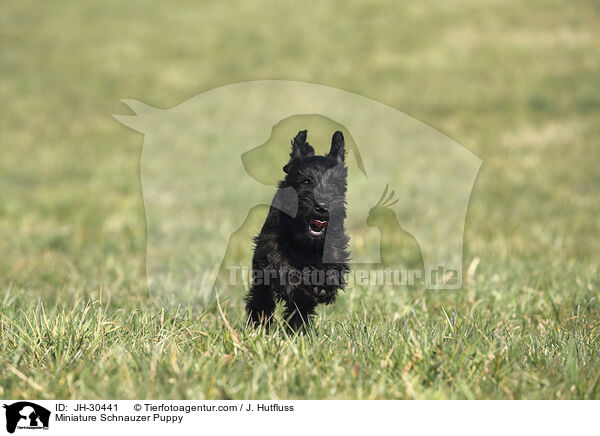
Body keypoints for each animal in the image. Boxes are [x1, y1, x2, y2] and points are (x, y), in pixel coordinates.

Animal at [245, 131, 350, 328]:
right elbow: (280, 263)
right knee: (261, 296)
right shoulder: (270, 242)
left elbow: (333, 264)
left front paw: (324, 286)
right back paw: (260, 321)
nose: (322, 206)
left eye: (334, 184)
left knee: (300, 309)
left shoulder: (335, 242)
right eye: (306, 181)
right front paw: (292, 283)